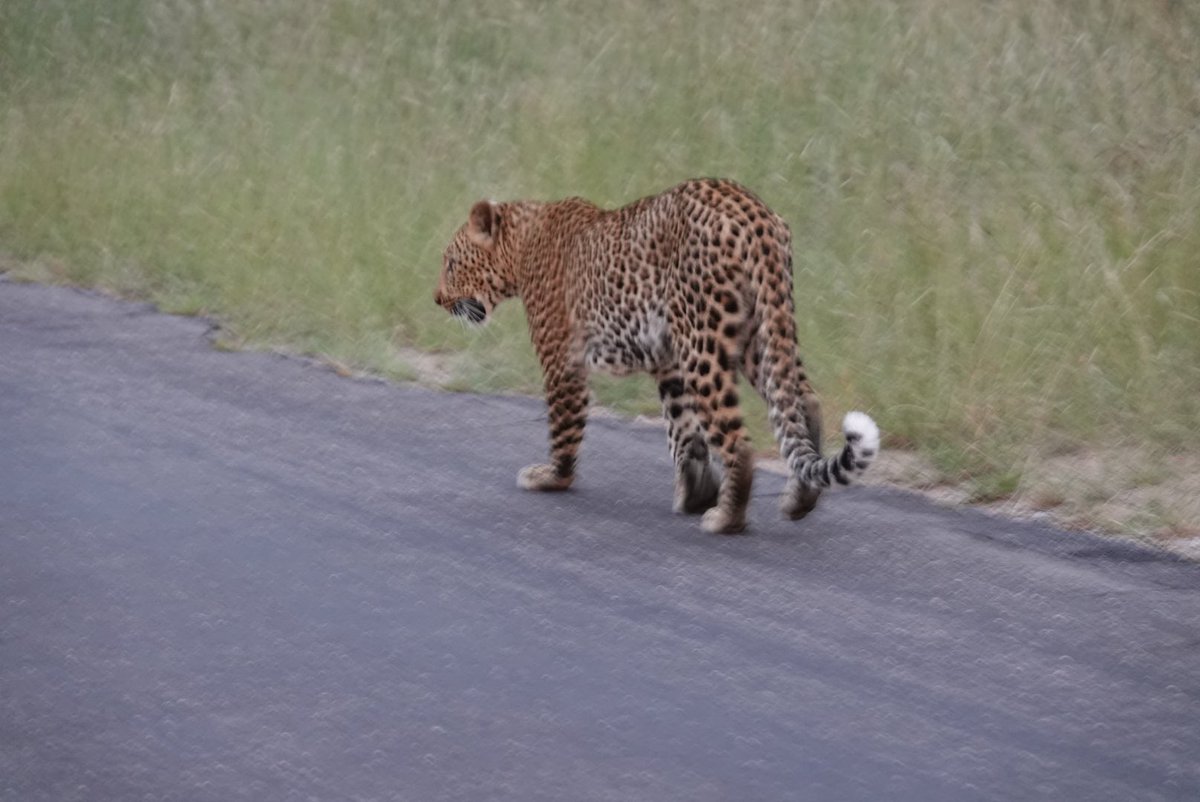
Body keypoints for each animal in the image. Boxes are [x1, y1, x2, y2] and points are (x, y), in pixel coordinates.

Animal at [434, 178, 879, 534]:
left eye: (451, 263)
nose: (436, 299)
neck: (522, 243)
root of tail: (755, 216)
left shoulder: (562, 360)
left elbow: (564, 426)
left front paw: (552, 478)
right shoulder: (668, 362)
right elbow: (684, 431)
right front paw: (696, 493)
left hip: (704, 342)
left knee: (738, 440)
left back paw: (727, 519)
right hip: (760, 332)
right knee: (802, 400)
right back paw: (800, 499)